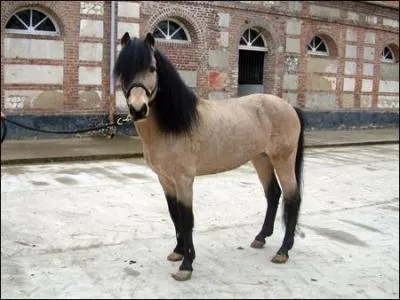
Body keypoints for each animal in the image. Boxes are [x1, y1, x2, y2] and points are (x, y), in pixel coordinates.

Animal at [112, 32, 304, 282]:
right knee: (273, 194)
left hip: (283, 160)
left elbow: (187, 219)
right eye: (122, 70)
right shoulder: (165, 180)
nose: (138, 109)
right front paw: (178, 252)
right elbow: (174, 215)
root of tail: (290, 108)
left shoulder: (184, 180)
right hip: (261, 159)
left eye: (152, 68)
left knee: (292, 197)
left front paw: (186, 265)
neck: (174, 125)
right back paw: (260, 238)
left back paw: (283, 250)